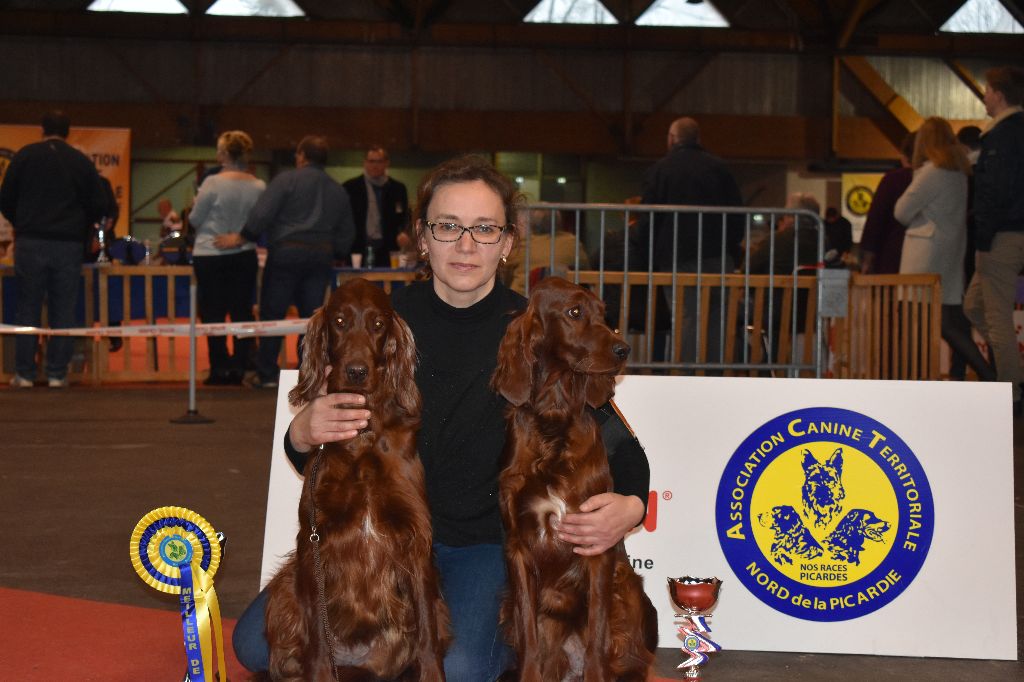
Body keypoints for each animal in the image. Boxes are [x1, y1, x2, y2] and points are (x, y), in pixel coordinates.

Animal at [268, 278, 448, 679]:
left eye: (378, 324)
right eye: (339, 320)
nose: (356, 371)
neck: (362, 434)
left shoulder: (416, 538)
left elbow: (427, 635)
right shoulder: (313, 540)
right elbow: (318, 637)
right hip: (284, 587)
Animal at [493, 276, 655, 679]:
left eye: (603, 313)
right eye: (575, 312)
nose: (623, 349)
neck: (554, 416)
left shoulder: (596, 545)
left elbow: (597, 632)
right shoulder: (518, 549)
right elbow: (529, 635)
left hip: (629, 589)